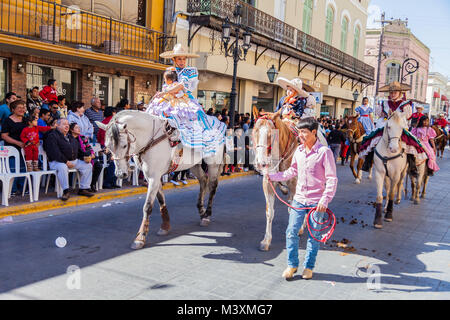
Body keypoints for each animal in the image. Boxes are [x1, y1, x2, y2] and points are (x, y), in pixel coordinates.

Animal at [97, 110, 225, 250]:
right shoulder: (152, 176)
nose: (121, 174)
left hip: (213, 163)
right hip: (193, 164)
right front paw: (165, 226)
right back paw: (202, 212)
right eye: (108, 147)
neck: (150, 139)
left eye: (124, 145)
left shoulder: (154, 176)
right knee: (203, 180)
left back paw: (207, 215)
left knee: (212, 186)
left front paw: (140, 238)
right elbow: (161, 200)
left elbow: (147, 206)